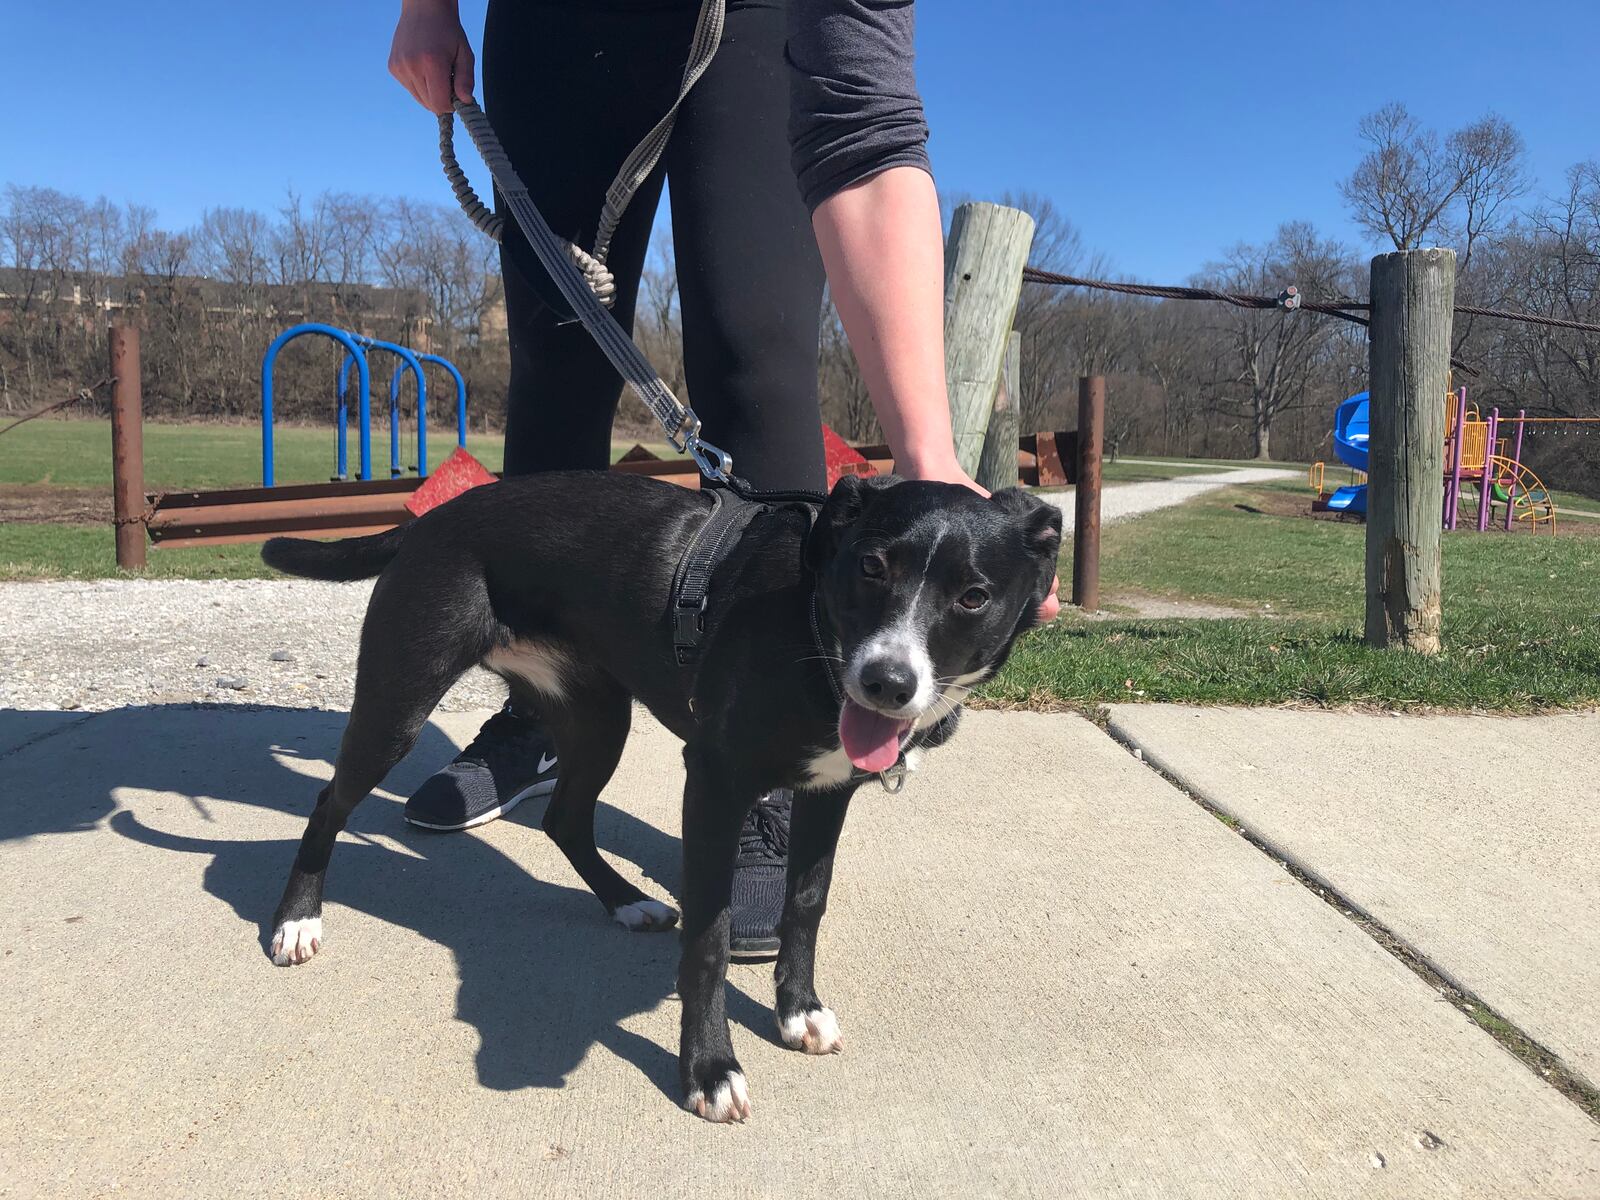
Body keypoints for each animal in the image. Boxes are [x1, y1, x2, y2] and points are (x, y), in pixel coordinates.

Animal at [262, 473, 1062, 1126]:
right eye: (871, 566)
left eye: (973, 597)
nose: (886, 683)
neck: (809, 621)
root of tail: (434, 518)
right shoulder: (714, 782)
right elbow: (708, 941)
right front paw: (709, 1068)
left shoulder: (827, 791)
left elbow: (806, 904)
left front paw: (797, 1010)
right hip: (399, 700)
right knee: (331, 804)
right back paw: (296, 920)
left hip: (598, 718)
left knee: (564, 817)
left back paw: (626, 901)